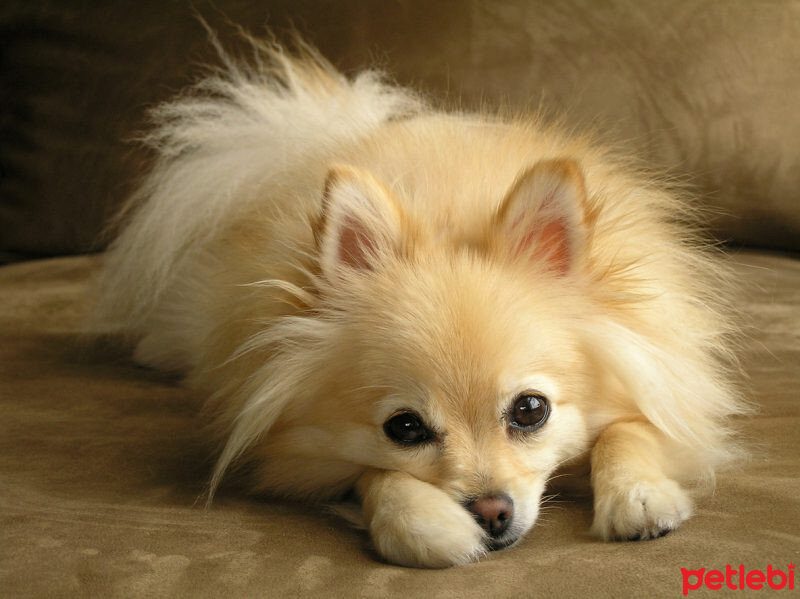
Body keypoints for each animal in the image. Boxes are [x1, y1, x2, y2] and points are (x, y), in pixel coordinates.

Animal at [92, 37, 744, 568]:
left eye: (530, 411)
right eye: (404, 428)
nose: (491, 511)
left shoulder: (666, 377)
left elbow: (630, 432)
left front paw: (639, 495)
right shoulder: (302, 451)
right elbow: (374, 477)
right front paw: (429, 525)